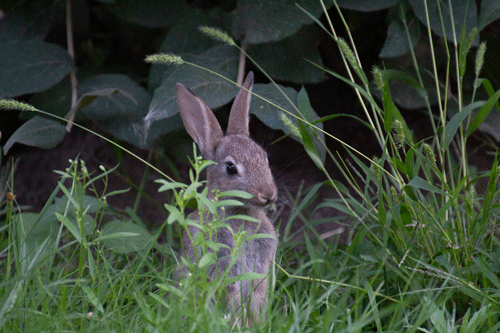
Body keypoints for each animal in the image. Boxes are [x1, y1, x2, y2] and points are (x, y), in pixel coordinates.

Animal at [175, 72, 278, 322]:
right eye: (231, 168)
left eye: (265, 159)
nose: (268, 195)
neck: (241, 213)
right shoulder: (222, 258)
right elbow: (232, 292)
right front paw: (241, 323)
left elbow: (259, 292)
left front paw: (257, 322)